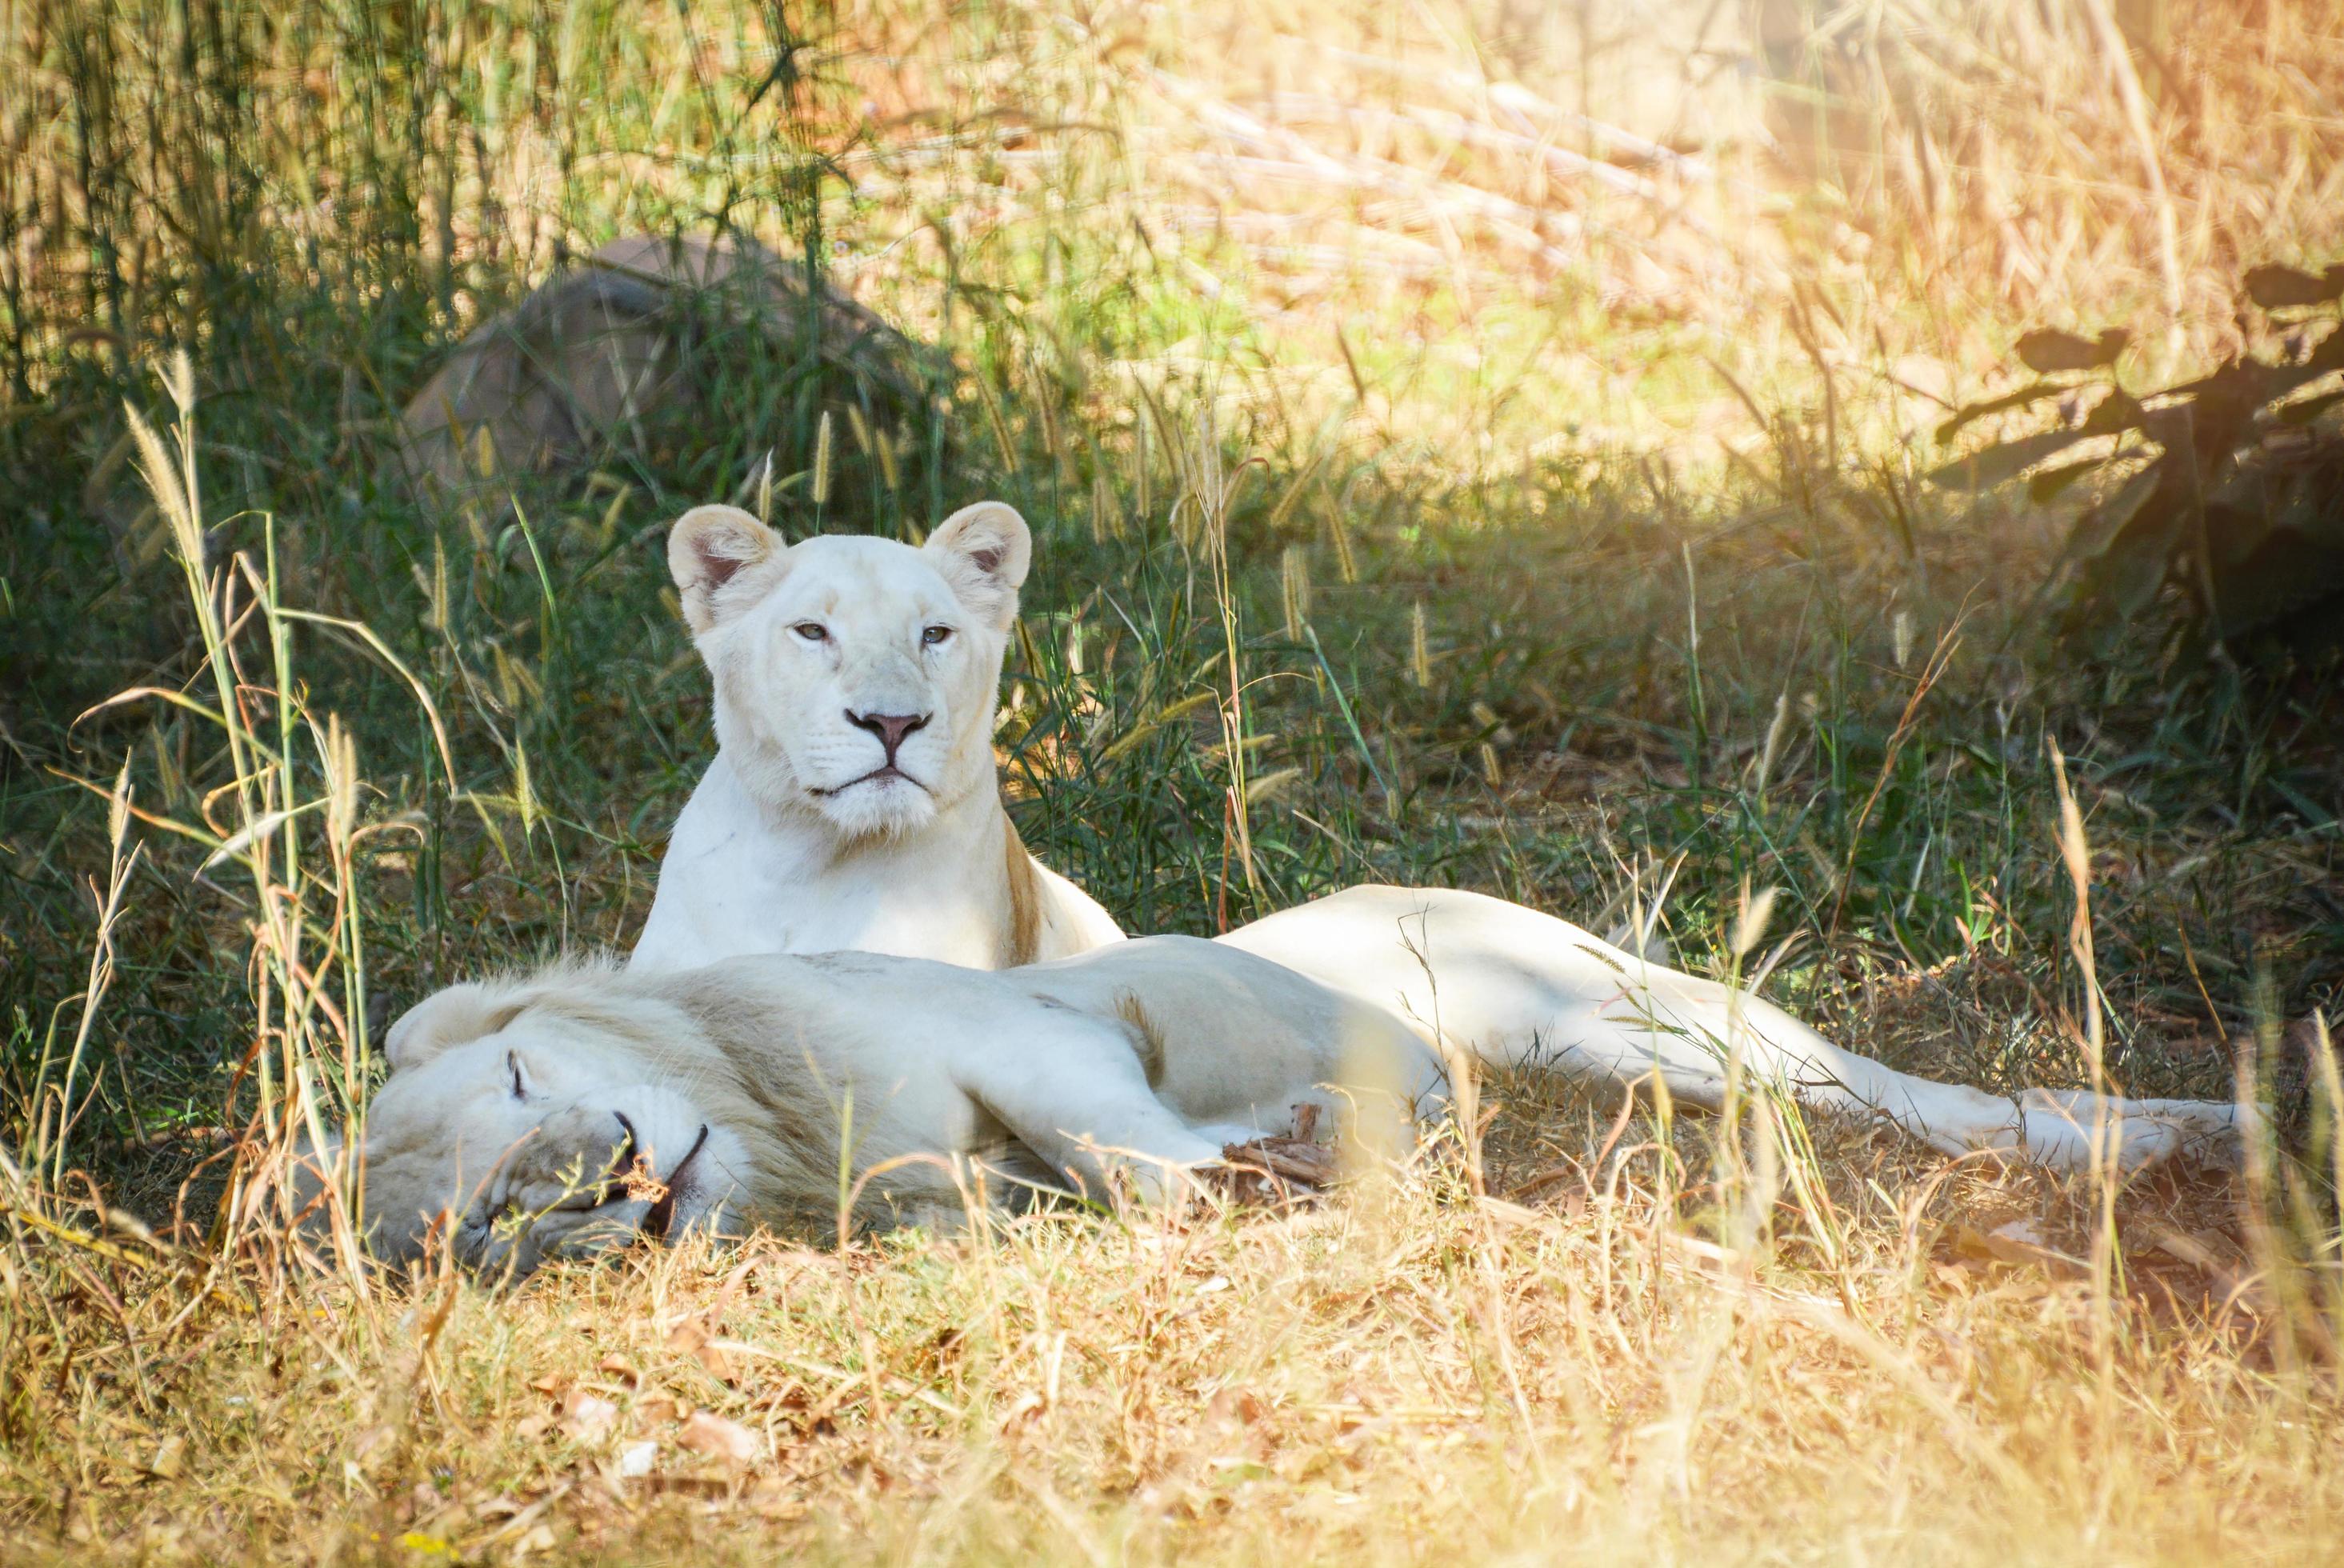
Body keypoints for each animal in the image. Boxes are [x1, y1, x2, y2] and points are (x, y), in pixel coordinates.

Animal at [618, 501, 2231, 1171]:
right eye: (813, 632)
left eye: (939, 635)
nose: (891, 724)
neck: (816, 865)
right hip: (1623, 1062)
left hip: (1668, 1024)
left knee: (1926, 1098)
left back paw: (2168, 1138)